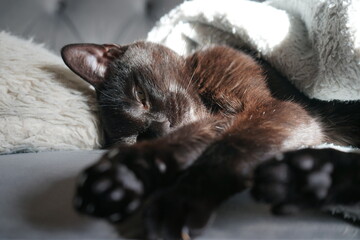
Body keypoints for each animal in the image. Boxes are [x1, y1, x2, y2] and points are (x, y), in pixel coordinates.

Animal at [61, 41, 360, 238]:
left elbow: (232, 146)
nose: (159, 127)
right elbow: (194, 139)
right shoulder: (221, 121)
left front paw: (182, 200)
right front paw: (123, 177)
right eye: (137, 138)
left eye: (140, 96)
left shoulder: (271, 109)